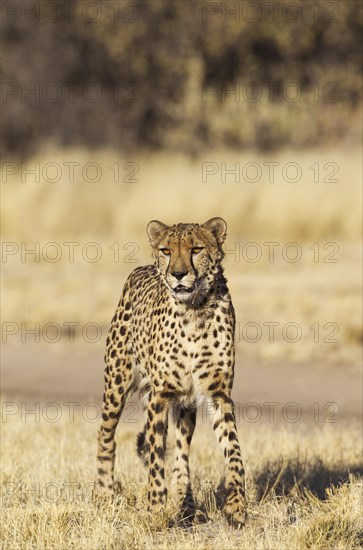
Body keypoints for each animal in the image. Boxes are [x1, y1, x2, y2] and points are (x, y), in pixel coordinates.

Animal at [96, 218, 247, 528]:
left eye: (196, 249)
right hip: (116, 385)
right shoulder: (160, 396)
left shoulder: (218, 394)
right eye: (166, 250)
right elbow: (155, 458)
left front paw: (236, 506)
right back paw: (103, 494)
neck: (194, 309)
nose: (178, 274)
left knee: (181, 454)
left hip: (187, 404)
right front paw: (155, 509)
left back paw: (186, 505)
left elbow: (234, 451)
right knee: (106, 435)